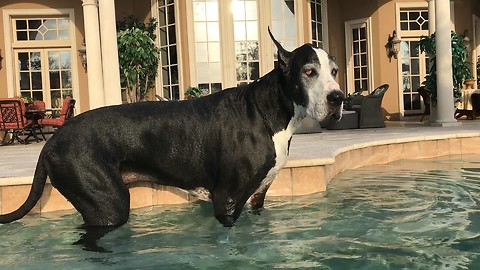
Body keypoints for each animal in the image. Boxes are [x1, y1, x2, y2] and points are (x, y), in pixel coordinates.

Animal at [0, 29, 344, 234]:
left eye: (335, 71)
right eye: (308, 71)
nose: (338, 98)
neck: (267, 110)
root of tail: (52, 141)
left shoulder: (257, 197)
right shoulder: (227, 200)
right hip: (107, 205)